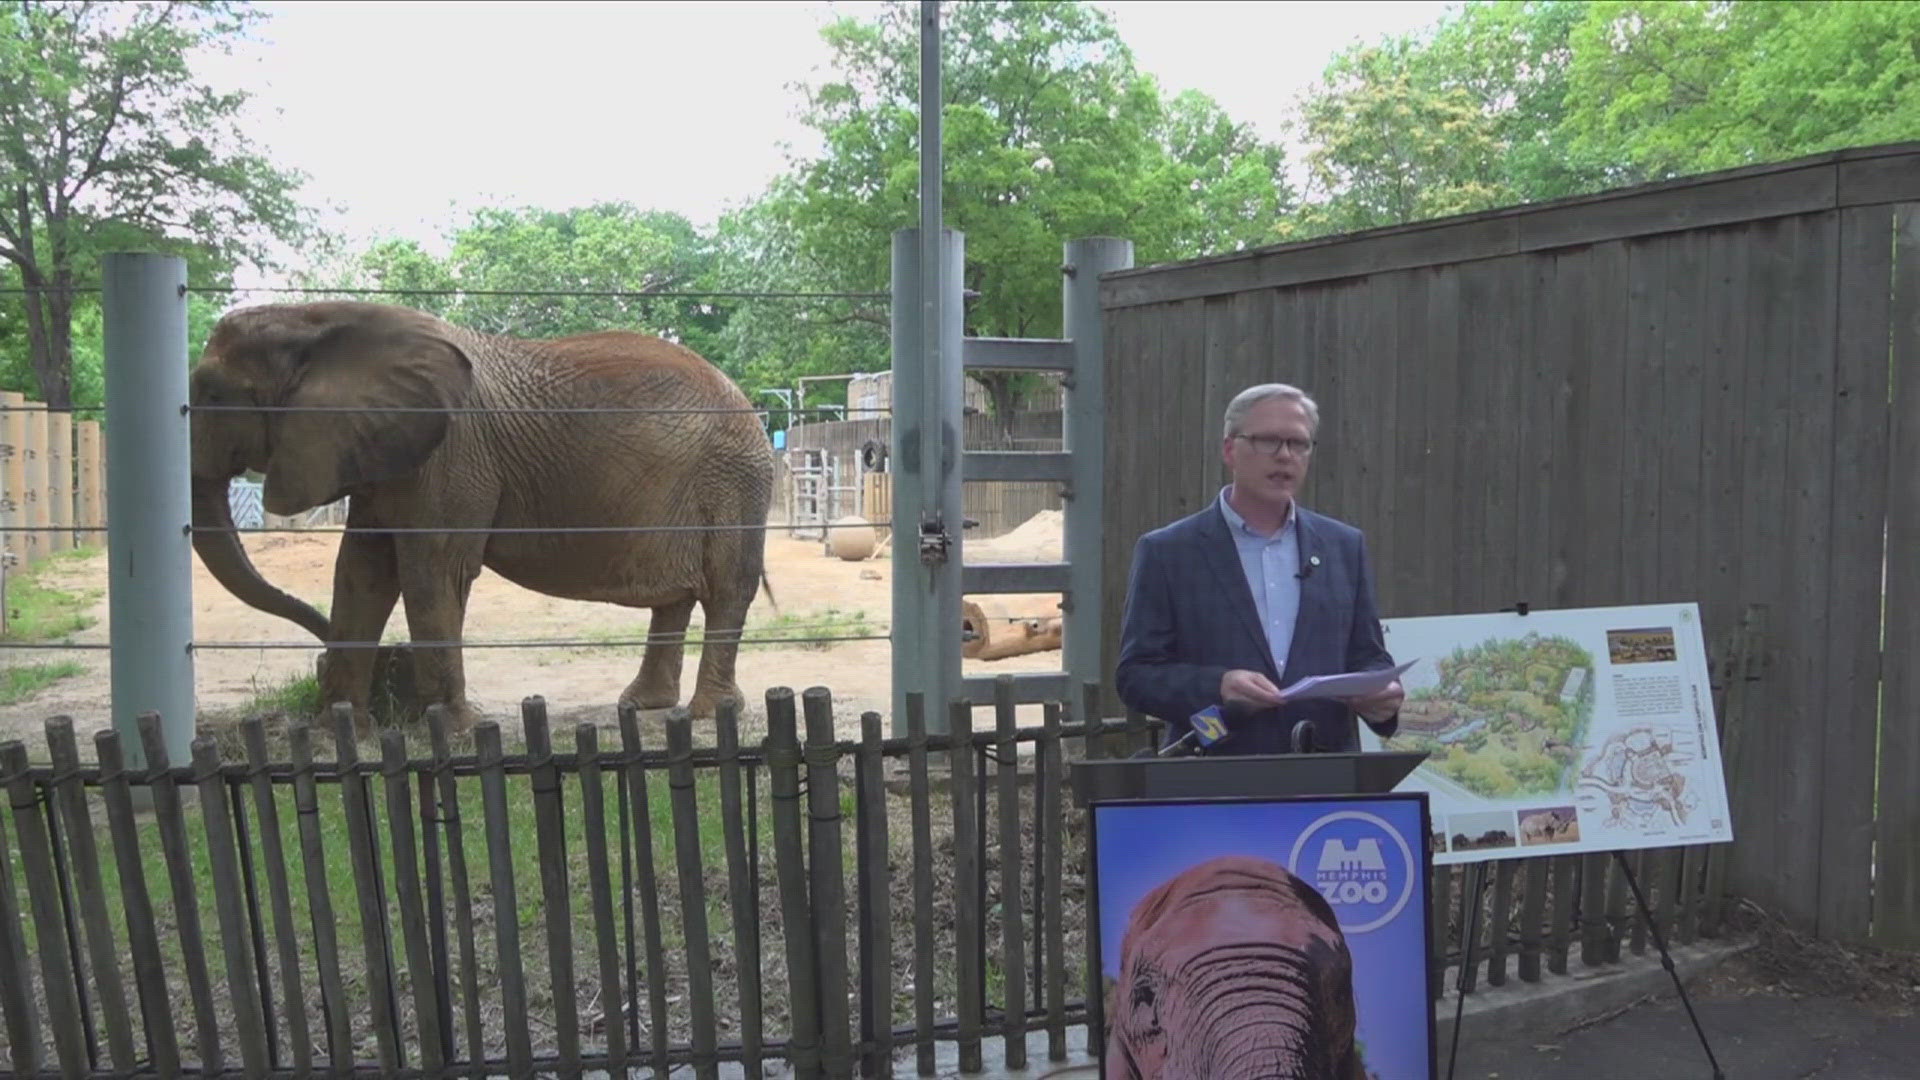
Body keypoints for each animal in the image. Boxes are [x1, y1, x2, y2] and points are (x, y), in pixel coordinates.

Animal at [183, 297, 771, 726]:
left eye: (212, 394)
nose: (321, 655)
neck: (315, 316)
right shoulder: (380, 448)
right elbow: (361, 568)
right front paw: (340, 727)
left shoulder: (451, 453)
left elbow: (430, 570)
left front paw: (452, 726)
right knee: (676, 597)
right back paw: (642, 706)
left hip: (735, 480)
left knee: (725, 590)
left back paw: (708, 713)